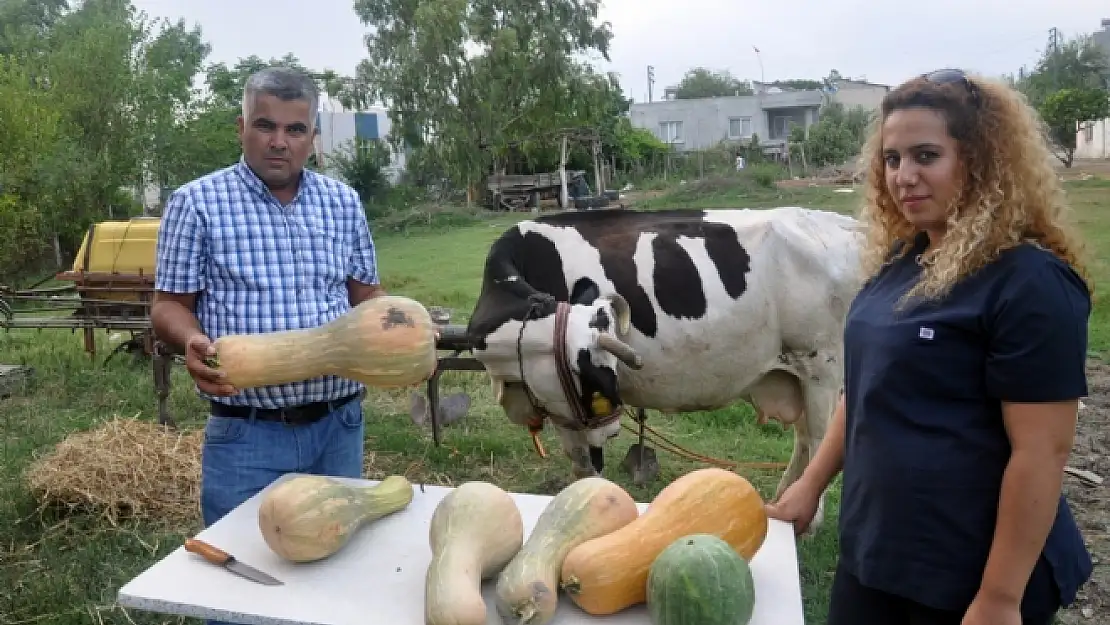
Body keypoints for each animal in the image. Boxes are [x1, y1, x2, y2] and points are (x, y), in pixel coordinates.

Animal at [459, 207, 865, 530]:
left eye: (602, 377)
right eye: (591, 378)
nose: (609, 431)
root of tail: (848, 226)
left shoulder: (566, 413)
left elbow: (587, 466)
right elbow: (581, 468)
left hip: (821, 367)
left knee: (819, 440)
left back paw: (807, 522)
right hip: (795, 374)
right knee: (803, 439)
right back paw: (780, 500)